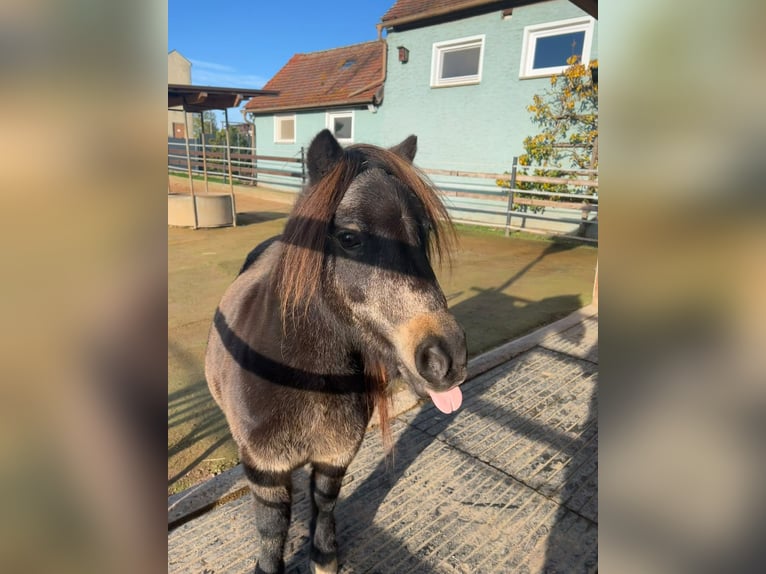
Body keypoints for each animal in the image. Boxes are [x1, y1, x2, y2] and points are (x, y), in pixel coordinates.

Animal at [205, 129, 467, 574]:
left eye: (425, 233)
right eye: (349, 238)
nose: (447, 359)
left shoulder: (335, 456)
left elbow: (324, 508)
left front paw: (323, 555)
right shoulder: (265, 471)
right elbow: (272, 532)